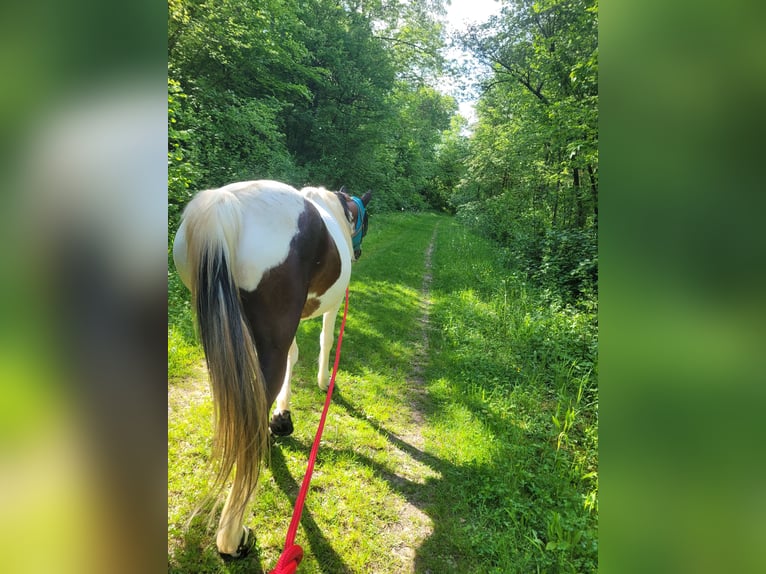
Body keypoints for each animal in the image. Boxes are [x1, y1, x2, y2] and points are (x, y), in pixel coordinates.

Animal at [174, 179, 372, 560]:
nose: (358, 254)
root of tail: (224, 205)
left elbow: (294, 356)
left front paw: (281, 418)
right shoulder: (328, 310)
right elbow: (325, 341)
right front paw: (324, 383)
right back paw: (232, 538)